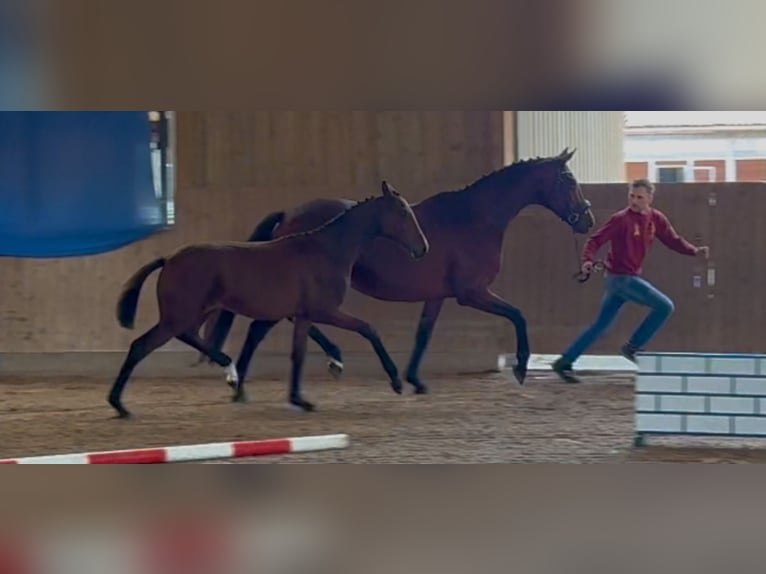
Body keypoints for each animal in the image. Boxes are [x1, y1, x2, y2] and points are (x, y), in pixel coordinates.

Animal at [107, 181, 429, 418]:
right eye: (402, 212)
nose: (422, 248)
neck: (328, 250)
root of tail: (169, 259)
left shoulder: (304, 315)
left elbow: (298, 354)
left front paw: (299, 399)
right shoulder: (324, 311)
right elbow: (368, 329)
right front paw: (396, 382)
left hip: (193, 314)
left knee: (190, 336)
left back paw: (229, 373)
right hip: (179, 315)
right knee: (141, 345)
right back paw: (121, 405)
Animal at [201, 147, 595, 395]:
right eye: (569, 181)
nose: (587, 220)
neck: (475, 218)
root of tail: (288, 214)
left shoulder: (438, 296)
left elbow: (423, 335)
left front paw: (414, 380)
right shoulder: (472, 293)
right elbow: (518, 315)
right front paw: (521, 368)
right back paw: (332, 359)